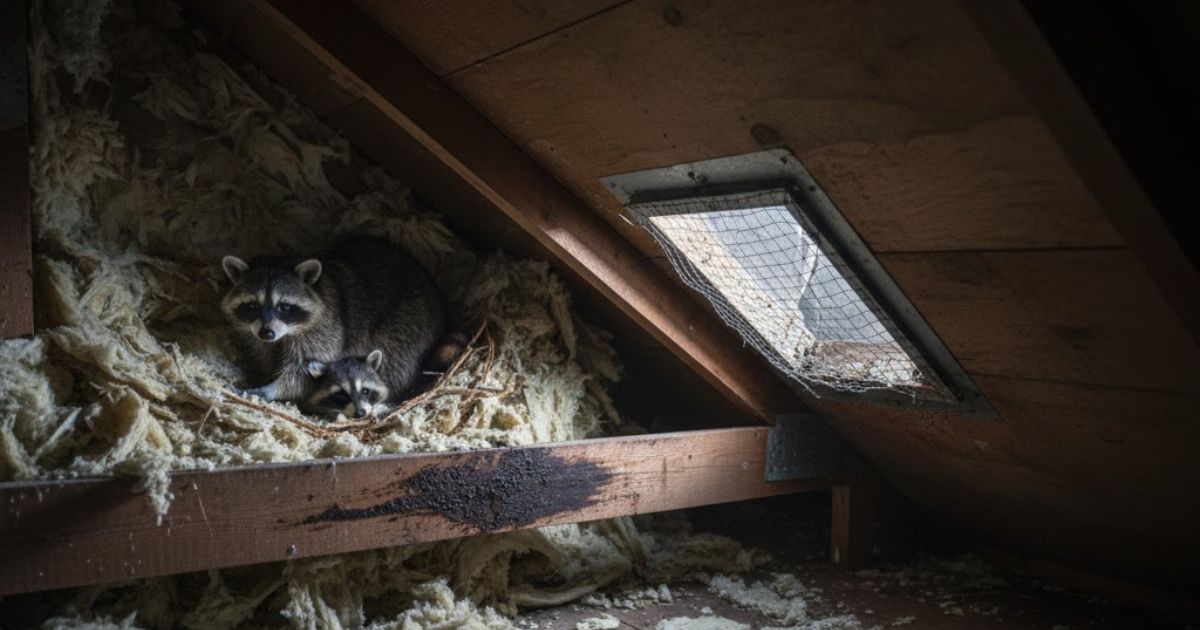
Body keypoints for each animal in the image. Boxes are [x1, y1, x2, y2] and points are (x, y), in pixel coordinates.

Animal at [220, 236, 444, 402]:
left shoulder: (325, 330)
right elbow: (265, 354)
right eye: (252, 306)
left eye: (284, 307)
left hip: (409, 323)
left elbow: (302, 374)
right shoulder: (257, 334)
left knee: (394, 363)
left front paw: (274, 388)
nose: (267, 332)